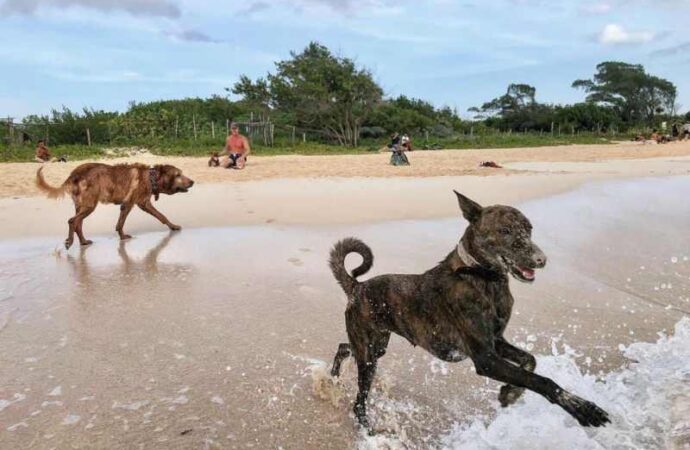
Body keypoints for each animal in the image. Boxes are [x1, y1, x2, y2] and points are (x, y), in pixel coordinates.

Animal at [37, 163, 194, 250]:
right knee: (72, 221)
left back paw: (83, 242)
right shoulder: (134, 203)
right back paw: (70, 242)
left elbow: (160, 216)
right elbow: (159, 216)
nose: (192, 182)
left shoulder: (137, 204)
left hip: (81, 206)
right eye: (178, 175)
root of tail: (74, 174)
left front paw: (173, 226)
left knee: (78, 224)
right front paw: (123, 236)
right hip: (89, 205)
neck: (151, 178)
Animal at [328, 189, 608, 428]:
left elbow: (530, 361)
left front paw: (510, 393)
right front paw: (583, 408)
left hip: (375, 346)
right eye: (505, 230)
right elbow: (543, 381)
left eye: (529, 228)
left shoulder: (496, 341)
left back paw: (333, 375)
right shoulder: (486, 359)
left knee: (344, 347)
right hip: (369, 354)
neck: (481, 276)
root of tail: (357, 286)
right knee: (359, 401)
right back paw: (365, 426)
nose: (541, 260)